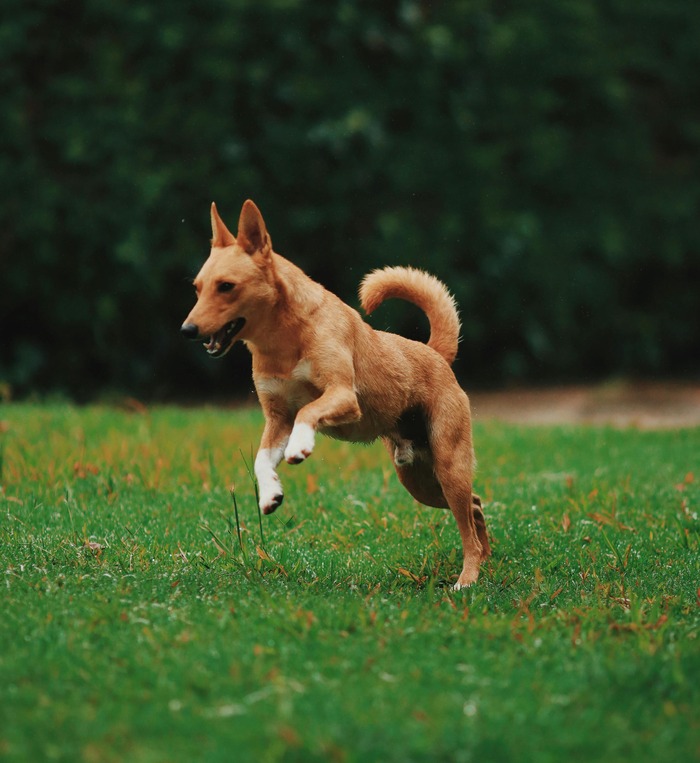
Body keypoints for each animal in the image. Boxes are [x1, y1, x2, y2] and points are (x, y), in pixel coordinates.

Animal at [183, 200, 490, 588]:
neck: (283, 341)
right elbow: (261, 458)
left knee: (467, 524)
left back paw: (467, 579)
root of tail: (434, 353)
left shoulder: (342, 396)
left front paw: (300, 446)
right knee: (475, 508)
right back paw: (486, 560)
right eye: (197, 288)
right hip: (418, 480)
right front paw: (270, 494)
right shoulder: (276, 418)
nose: (187, 329)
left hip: (449, 465)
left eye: (226, 286)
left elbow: (308, 412)